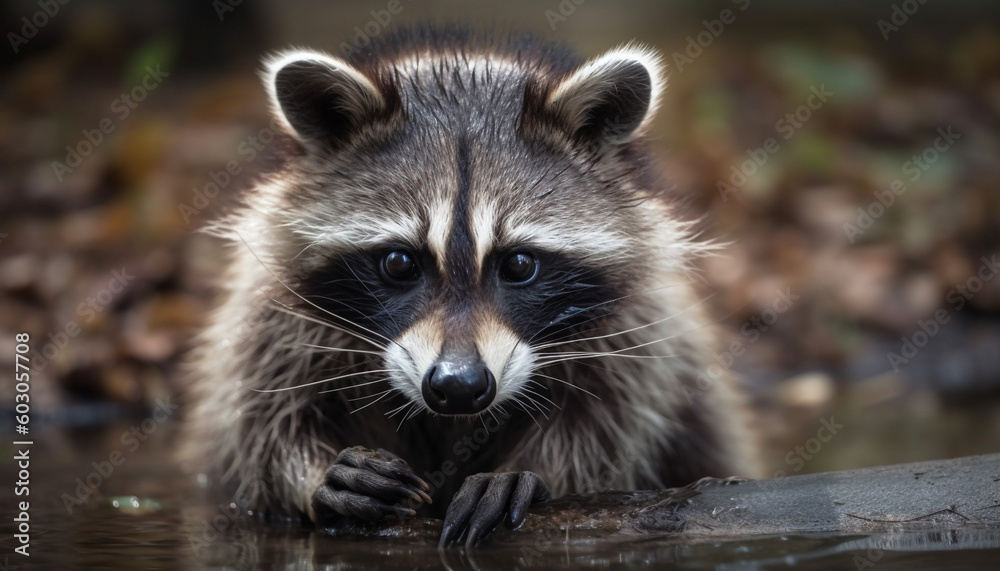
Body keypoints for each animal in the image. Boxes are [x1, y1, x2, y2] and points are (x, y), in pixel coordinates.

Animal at [182, 24, 756, 548]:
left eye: (520, 263)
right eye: (398, 262)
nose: (459, 387)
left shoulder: (635, 325)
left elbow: (608, 418)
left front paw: (535, 473)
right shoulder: (274, 312)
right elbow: (257, 421)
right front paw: (311, 473)